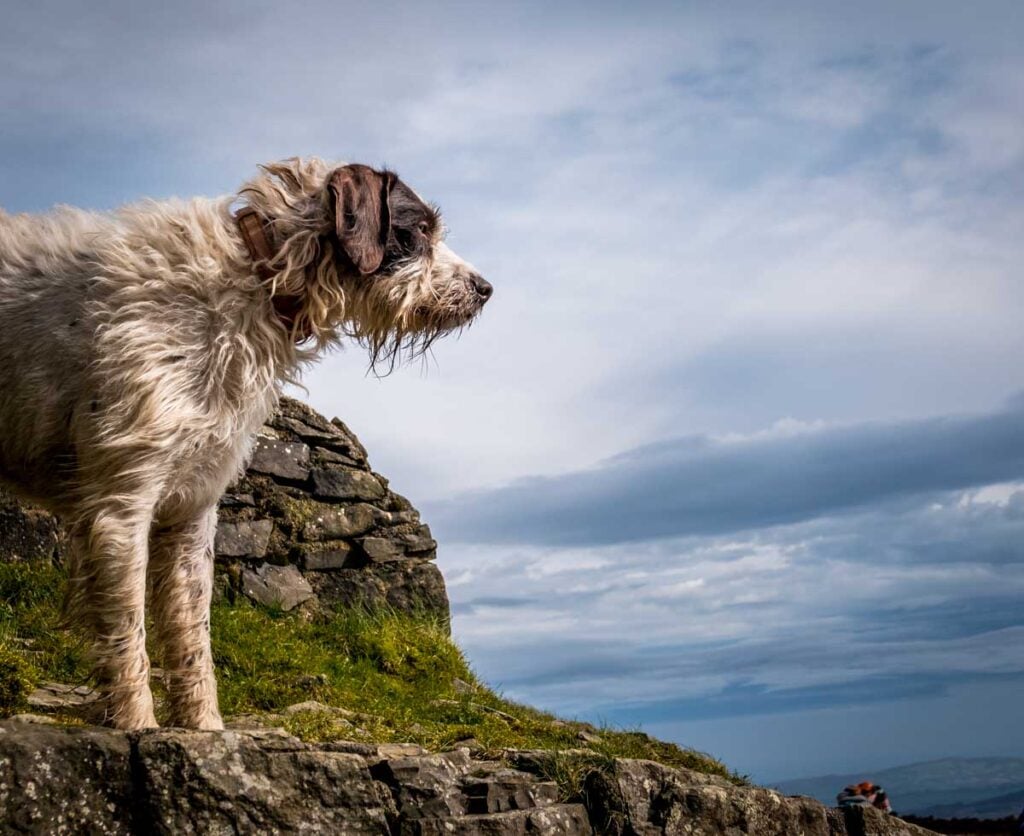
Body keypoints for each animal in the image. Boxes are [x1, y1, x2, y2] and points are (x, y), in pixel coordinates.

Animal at [0, 159, 491, 729]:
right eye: (416, 233)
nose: (486, 289)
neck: (255, 277)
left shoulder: (193, 508)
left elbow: (193, 634)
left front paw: (205, 730)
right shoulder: (121, 506)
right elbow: (129, 637)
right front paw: (139, 727)